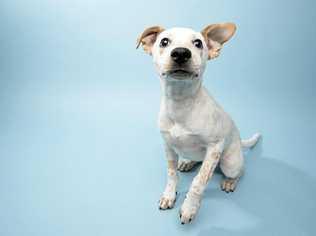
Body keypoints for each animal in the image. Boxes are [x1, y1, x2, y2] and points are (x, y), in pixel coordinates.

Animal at [135, 23, 260, 224]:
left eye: (198, 43)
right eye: (164, 41)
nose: (180, 53)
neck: (181, 103)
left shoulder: (214, 148)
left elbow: (198, 182)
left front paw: (189, 208)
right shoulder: (168, 145)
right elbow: (171, 174)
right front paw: (169, 195)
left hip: (230, 163)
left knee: (241, 171)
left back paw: (230, 181)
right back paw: (187, 162)